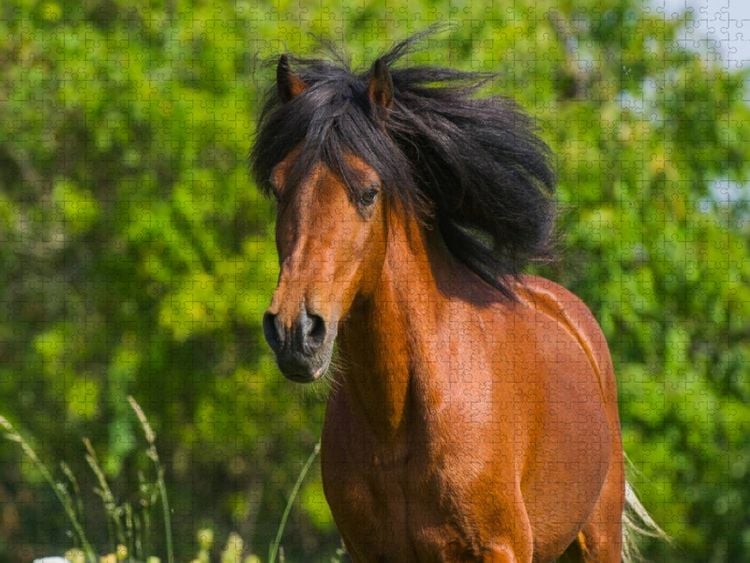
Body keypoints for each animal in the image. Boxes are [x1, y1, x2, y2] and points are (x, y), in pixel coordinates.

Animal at [251, 31, 660, 562]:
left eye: (368, 192)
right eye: (278, 189)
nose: (295, 331)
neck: (397, 421)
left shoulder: (500, 547)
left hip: (597, 539)